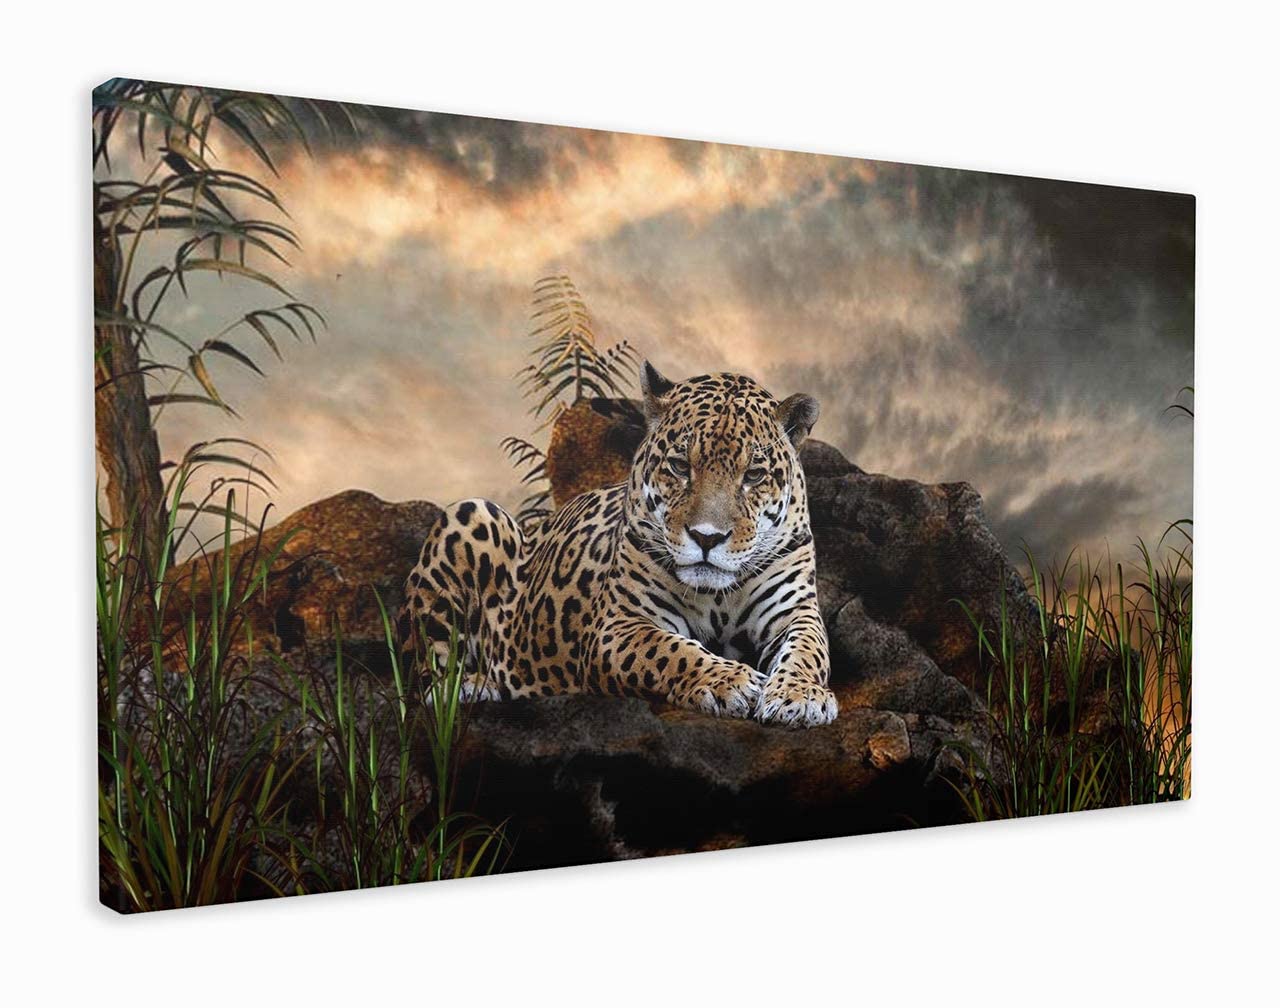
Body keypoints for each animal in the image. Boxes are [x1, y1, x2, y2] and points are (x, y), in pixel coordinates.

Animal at [399, 362, 837, 728]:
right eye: (680, 466)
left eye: (754, 475)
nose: (706, 537)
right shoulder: (619, 625)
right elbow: (671, 650)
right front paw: (729, 681)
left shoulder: (794, 611)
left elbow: (808, 650)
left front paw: (801, 696)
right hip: (472, 514)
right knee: (425, 677)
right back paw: (475, 686)